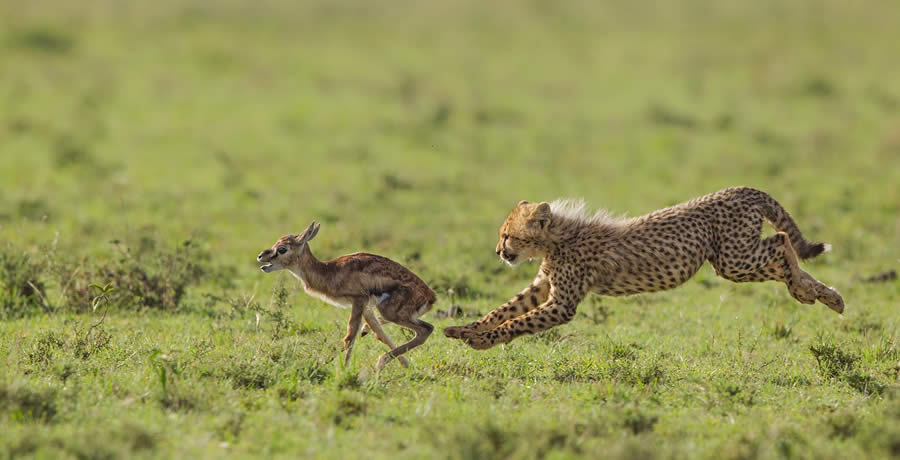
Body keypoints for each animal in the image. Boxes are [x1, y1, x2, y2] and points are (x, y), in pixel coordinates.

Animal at [442, 187, 844, 348]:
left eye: (507, 235)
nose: (498, 251)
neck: (558, 237)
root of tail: (738, 189)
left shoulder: (561, 303)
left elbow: (516, 321)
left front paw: (482, 341)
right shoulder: (542, 287)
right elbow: (503, 310)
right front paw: (465, 329)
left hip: (734, 260)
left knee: (782, 242)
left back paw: (811, 291)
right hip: (734, 259)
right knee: (781, 246)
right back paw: (819, 293)